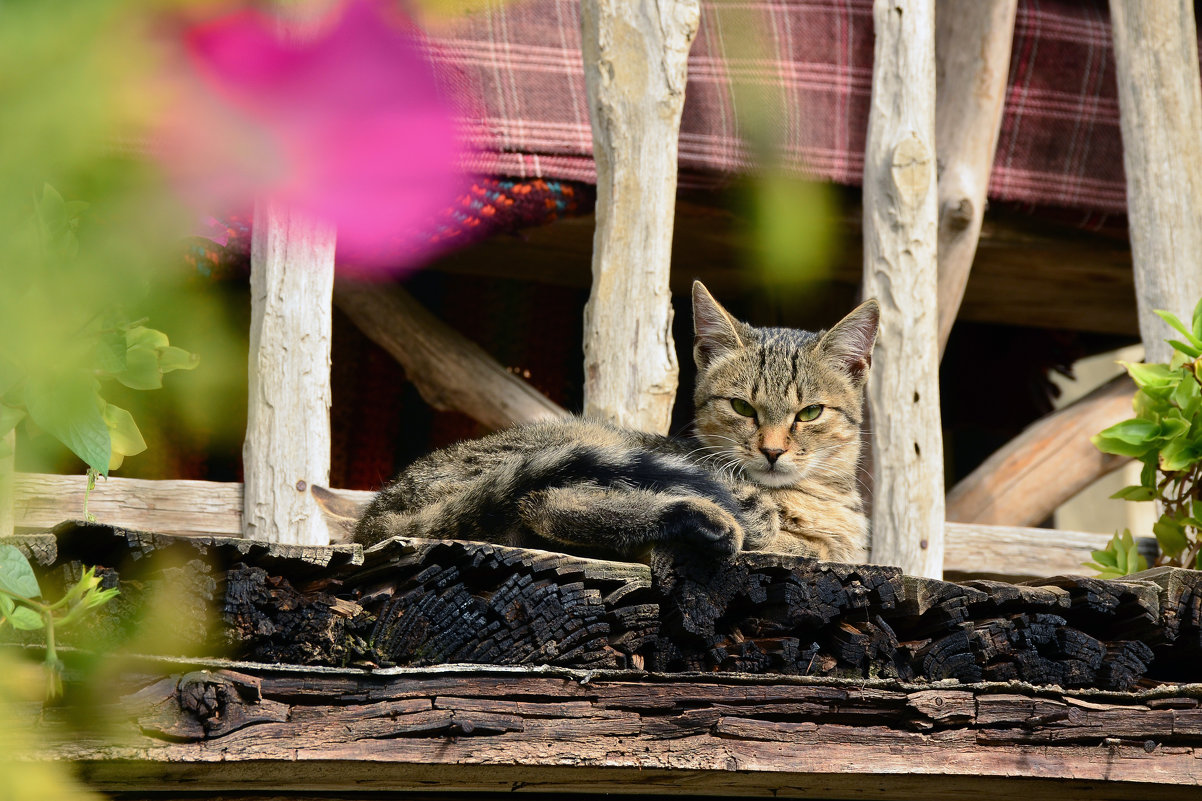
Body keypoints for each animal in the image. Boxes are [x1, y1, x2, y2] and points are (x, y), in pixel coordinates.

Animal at [350, 280, 879, 560]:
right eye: (742, 408)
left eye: (810, 412)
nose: (772, 450)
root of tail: (374, 517)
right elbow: (789, 538)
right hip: (583, 445)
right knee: (544, 502)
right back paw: (703, 518)